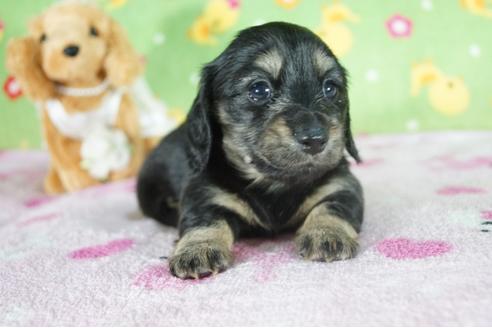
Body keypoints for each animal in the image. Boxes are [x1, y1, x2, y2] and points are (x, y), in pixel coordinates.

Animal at [136, 21, 364, 280]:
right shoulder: (203, 193)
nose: (316, 139)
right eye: (259, 89)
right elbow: (205, 221)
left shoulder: (342, 186)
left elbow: (332, 207)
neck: (274, 183)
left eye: (330, 88)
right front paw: (199, 249)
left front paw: (327, 234)